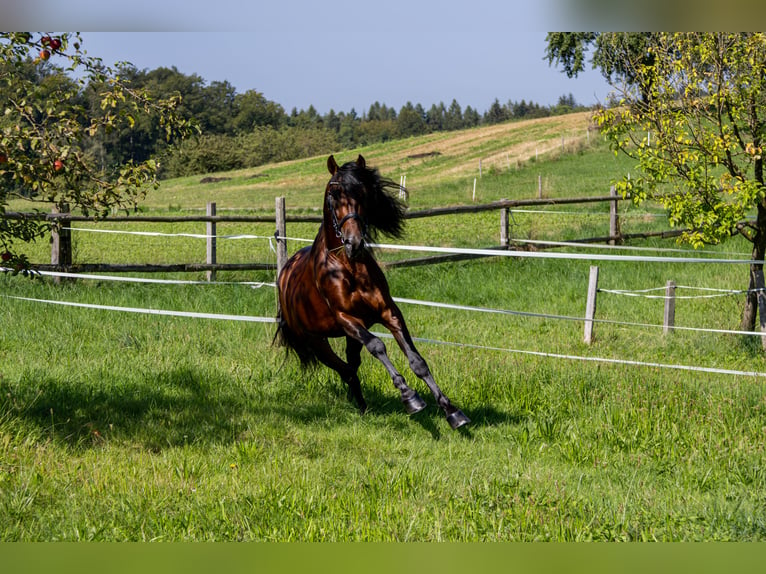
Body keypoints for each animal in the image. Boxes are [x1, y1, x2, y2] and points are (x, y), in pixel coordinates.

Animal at [272, 155, 472, 430]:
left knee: (350, 366)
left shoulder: (388, 312)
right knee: (345, 369)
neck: (347, 267)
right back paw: (362, 406)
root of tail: (284, 275)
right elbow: (378, 346)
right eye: (334, 193)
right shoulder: (346, 319)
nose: (353, 243)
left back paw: (361, 404)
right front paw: (410, 397)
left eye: (364, 193)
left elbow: (418, 361)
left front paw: (452, 411)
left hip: (349, 338)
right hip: (316, 341)